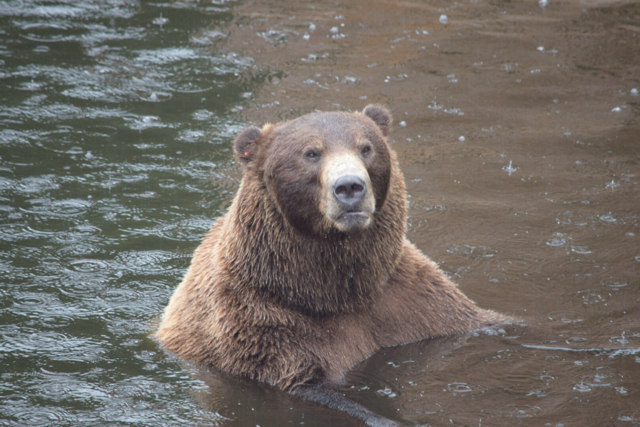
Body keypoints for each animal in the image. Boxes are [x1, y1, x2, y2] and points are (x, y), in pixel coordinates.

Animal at [156, 105, 511, 426]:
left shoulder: (415, 304)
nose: (350, 186)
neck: (336, 292)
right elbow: (314, 389)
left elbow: (487, 322)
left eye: (366, 147)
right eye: (311, 153)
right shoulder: (263, 326)